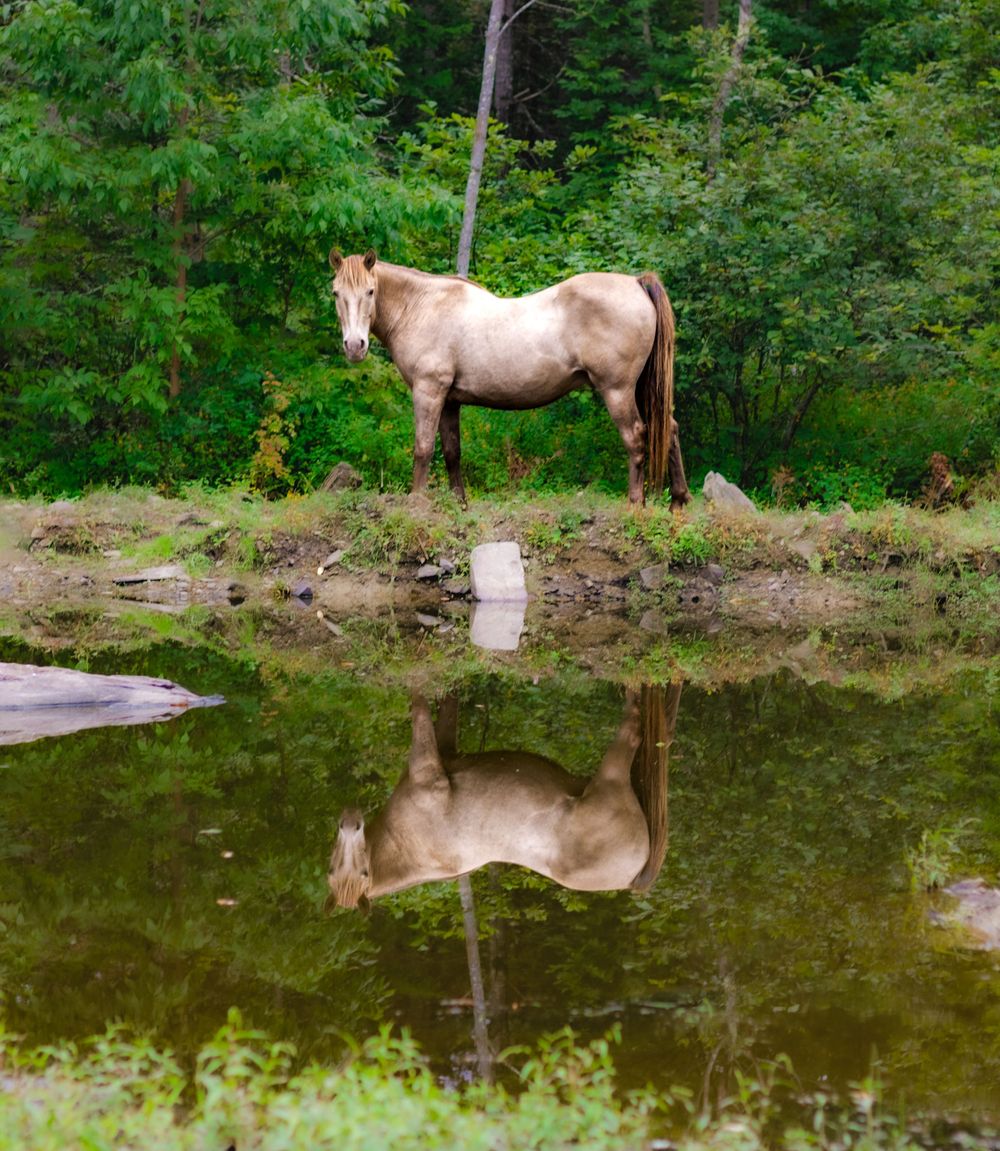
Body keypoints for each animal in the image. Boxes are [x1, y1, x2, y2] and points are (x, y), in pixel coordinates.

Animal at [326, 684, 683, 913]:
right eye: (332, 869)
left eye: (363, 874)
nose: (349, 822)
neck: (404, 848)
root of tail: (633, 879)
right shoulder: (439, 757)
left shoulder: (431, 764)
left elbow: (425, 707)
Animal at [329, 250, 691, 508]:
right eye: (335, 293)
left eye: (370, 291)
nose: (354, 346)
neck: (421, 306)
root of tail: (636, 282)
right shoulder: (450, 401)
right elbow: (452, 453)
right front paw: (459, 504)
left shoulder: (428, 391)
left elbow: (423, 448)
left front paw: (416, 503)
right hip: (642, 389)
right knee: (669, 428)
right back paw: (678, 500)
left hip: (617, 390)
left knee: (636, 437)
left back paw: (635, 503)